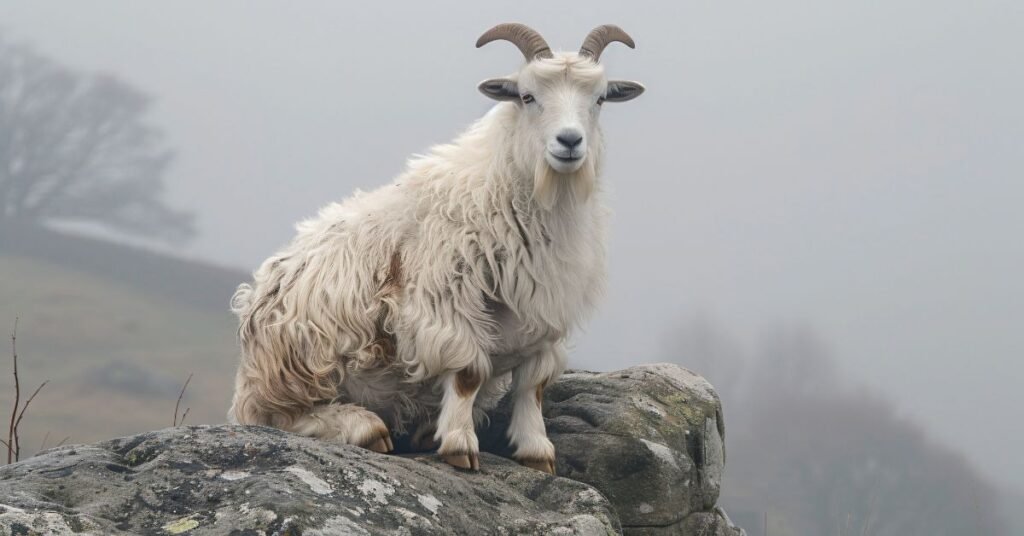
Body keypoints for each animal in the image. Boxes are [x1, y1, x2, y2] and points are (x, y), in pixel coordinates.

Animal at [229, 23, 644, 473]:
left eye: (599, 99)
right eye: (527, 96)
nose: (569, 142)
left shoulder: (546, 312)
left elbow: (532, 385)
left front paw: (536, 451)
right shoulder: (448, 301)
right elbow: (467, 373)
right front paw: (460, 445)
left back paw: (423, 429)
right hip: (297, 362)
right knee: (279, 417)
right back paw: (364, 427)